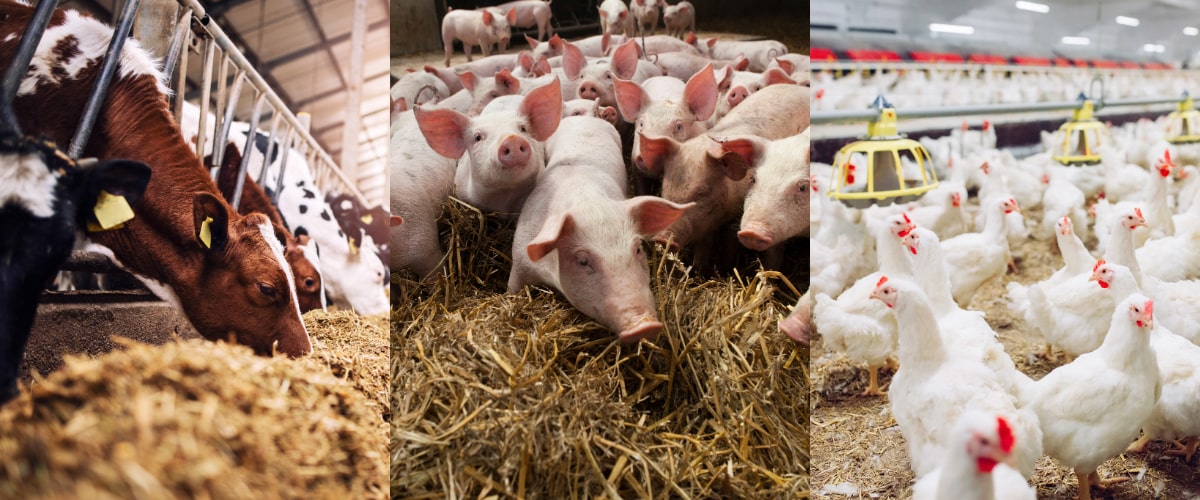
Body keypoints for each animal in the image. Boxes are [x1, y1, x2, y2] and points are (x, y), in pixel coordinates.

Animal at [508, 115, 693, 343]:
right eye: (583, 261)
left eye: (638, 249)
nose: (645, 326)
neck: (587, 201)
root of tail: (584, 117)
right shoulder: (520, 260)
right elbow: (512, 289)